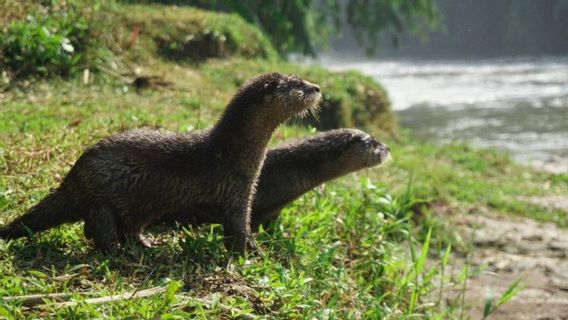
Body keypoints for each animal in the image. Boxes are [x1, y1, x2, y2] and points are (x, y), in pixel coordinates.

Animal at [0, 73, 322, 255]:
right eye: (298, 85)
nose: (318, 87)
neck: (232, 156)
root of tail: (73, 178)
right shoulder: (235, 195)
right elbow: (238, 231)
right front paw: (250, 256)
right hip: (102, 196)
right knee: (98, 229)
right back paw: (119, 254)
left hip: (137, 207)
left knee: (127, 228)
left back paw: (147, 243)